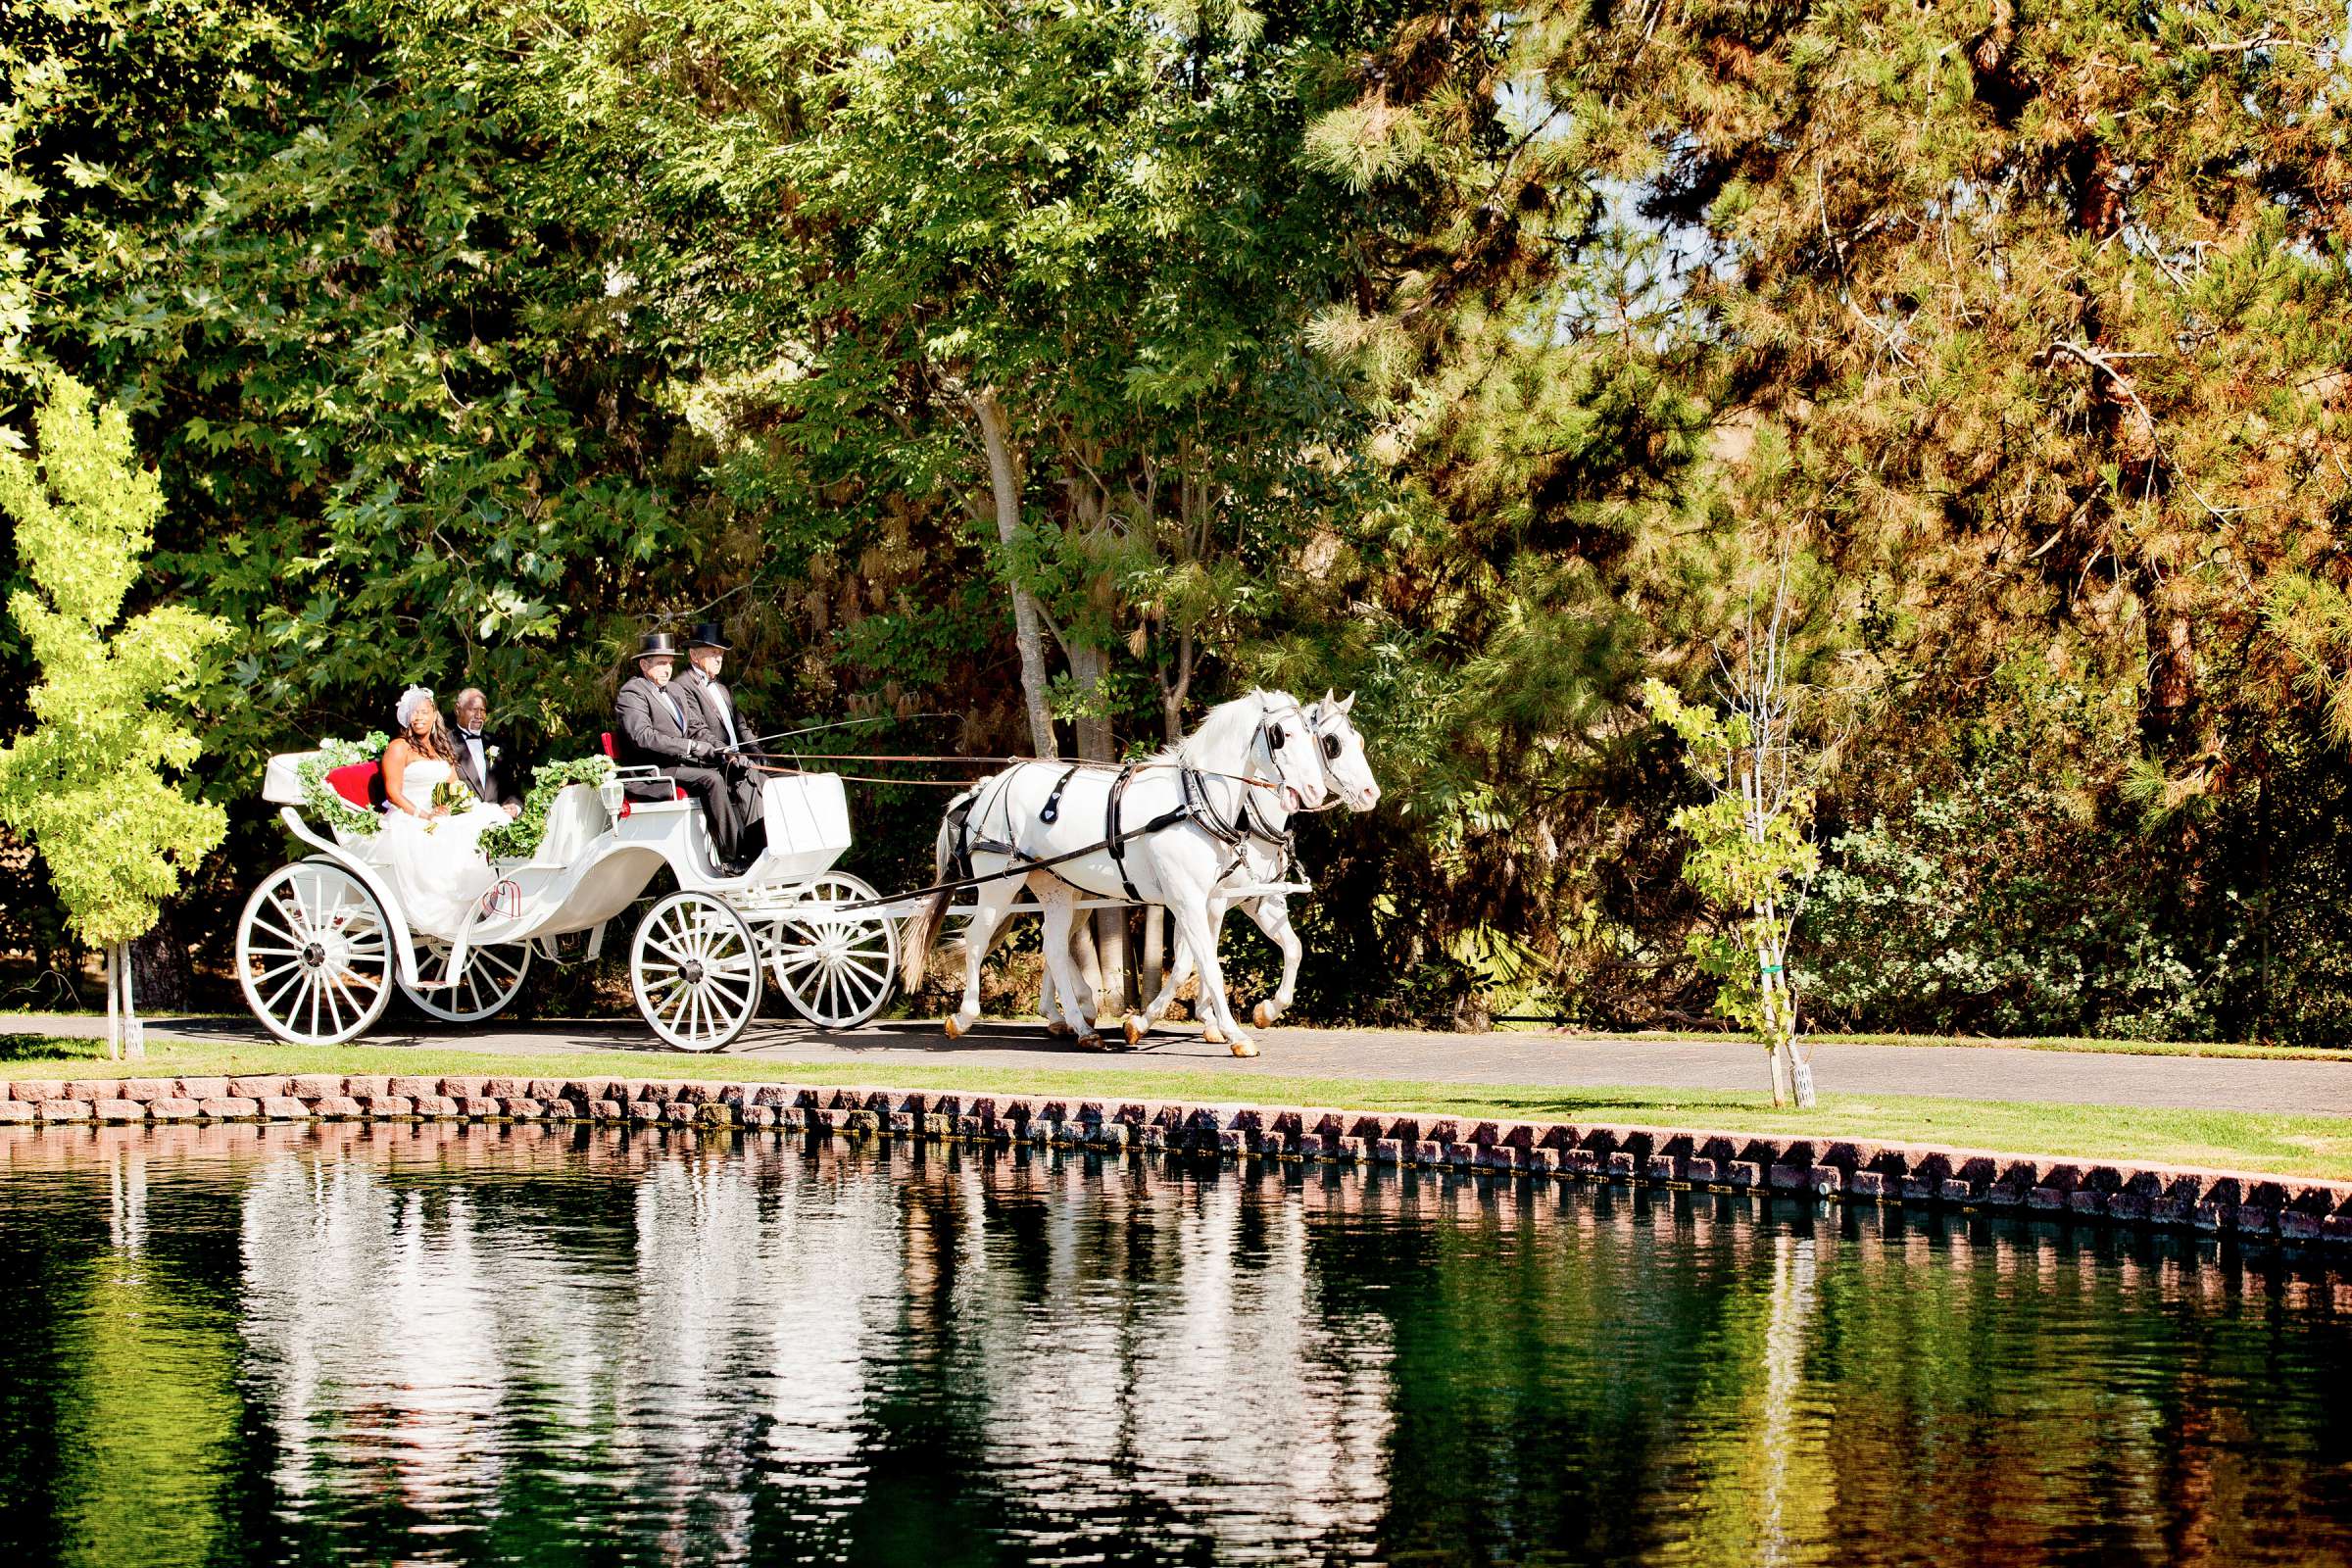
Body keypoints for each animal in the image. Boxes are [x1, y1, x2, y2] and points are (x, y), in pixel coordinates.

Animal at [898, 691, 1336, 1062]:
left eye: (1314, 738)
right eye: (1283, 735)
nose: (1314, 790)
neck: (1194, 802)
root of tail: (988, 787)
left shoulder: (1210, 899)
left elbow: (1210, 960)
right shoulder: (1188, 900)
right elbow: (1208, 965)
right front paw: (1235, 1035)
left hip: (1055, 889)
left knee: (1053, 947)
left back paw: (1081, 1028)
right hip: (998, 883)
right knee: (978, 938)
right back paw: (964, 1017)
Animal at [1124, 691, 1373, 1044]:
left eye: (1359, 740)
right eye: (1332, 743)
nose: (1370, 793)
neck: (1248, 818)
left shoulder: (1255, 899)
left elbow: (1292, 948)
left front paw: (1259, 1012)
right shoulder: (1207, 899)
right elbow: (1192, 960)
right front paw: (1150, 1020)